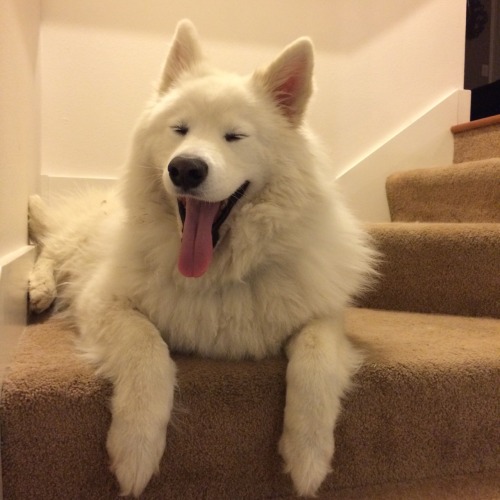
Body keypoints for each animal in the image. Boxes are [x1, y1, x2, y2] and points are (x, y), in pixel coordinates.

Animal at [28, 18, 376, 496]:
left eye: (235, 136)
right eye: (180, 129)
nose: (186, 168)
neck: (218, 272)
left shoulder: (323, 316)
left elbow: (315, 362)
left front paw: (308, 457)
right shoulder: (102, 301)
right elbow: (147, 349)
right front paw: (136, 449)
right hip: (78, 244)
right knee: (48, 248)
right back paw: (37, 289)